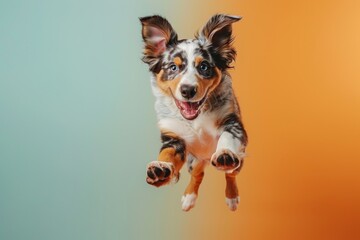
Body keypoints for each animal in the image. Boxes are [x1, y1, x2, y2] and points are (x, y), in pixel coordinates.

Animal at [139, 14, 246, 211]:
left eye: (204, 66)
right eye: (173, 67)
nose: (188, 90)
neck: (195, 118)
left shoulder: (233, 123)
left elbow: (227, 138)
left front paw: (224, 152)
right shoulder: (173, 138)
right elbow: (167, 153)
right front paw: (160, 167)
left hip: (240, 160)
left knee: (230, 174)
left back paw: (232, 197)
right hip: (194, 161)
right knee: (198, 174)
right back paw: (189, 198)